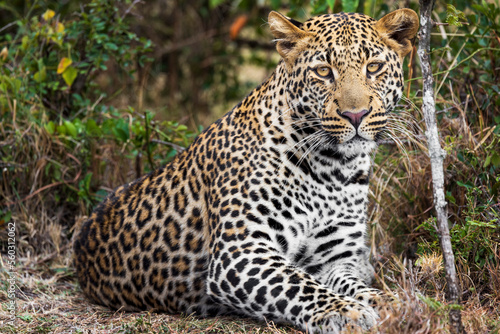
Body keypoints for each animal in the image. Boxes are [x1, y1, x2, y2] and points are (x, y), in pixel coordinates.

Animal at [73, 8, 418, 334]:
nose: (356, 115)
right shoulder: (239, 252)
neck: (333, 167)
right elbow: (299, 286)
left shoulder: (332, 259)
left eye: (373, 67)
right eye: (323, 71)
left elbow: (358, 287)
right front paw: (345, 312)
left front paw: (394, 304)